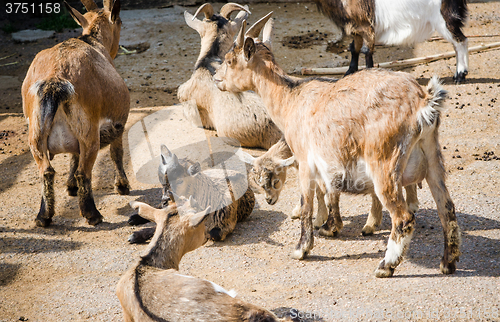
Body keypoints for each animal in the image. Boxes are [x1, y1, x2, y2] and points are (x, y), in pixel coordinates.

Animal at [21, 0, 131, 226]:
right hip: (89, 131)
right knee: (84, 171)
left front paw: (70, 187)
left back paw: (43, 216)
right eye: (119, 22)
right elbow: (116, 152)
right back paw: (92, 214)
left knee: (46, 170)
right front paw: (122, 186)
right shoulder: (118, 122)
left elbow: (73, 155)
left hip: (35, 131)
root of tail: (55, 80)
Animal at [215, 13, 460, 276]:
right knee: (447, 208)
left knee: (403, 217)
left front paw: (302, 249)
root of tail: (422, 102)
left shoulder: (305, 162)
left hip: (385, 162)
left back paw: (386, 265)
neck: (291, 99)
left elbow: (307, 204)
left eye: (229, 60)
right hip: (432, 157)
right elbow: (330, 192)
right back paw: (447, 263)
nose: (216, 78)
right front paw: (330, 227)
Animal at [314, 0, 470, 82]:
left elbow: (367, 51)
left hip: (444, 18)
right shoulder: (356, 28)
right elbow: (354, 49)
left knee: (460, 41)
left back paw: (460, 75)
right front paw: (349, 73)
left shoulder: (367, 27)